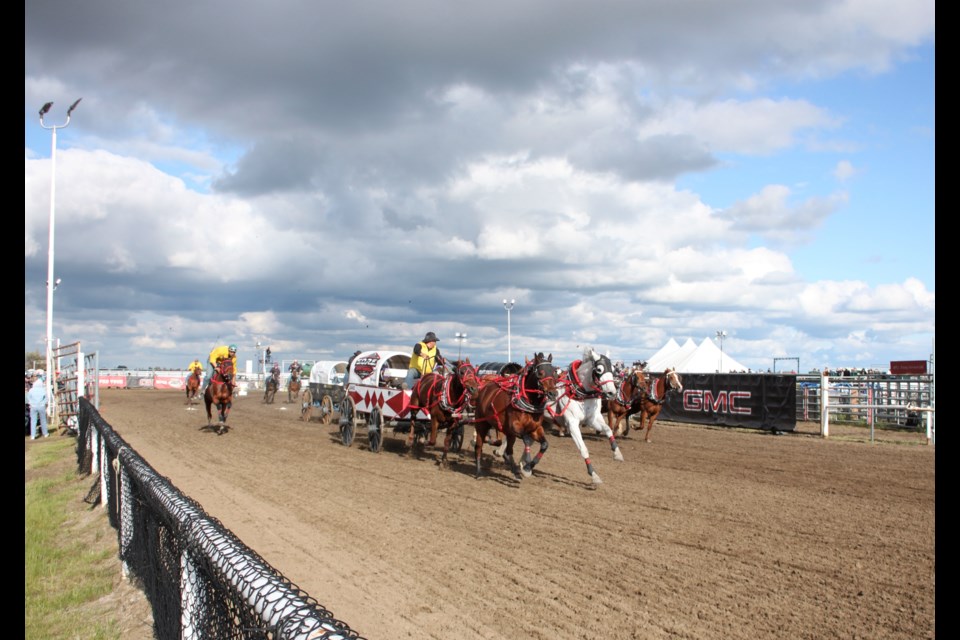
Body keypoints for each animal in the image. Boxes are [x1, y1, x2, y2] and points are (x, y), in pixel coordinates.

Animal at [548, 348, 624, 482]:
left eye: (613, 369)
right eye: (599, 369)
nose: (612, 392)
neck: (580, 394)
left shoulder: (592, 419)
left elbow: (608, 429)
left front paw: (617, 453)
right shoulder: (572, 424)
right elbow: (583, 449)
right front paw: (593, 474)